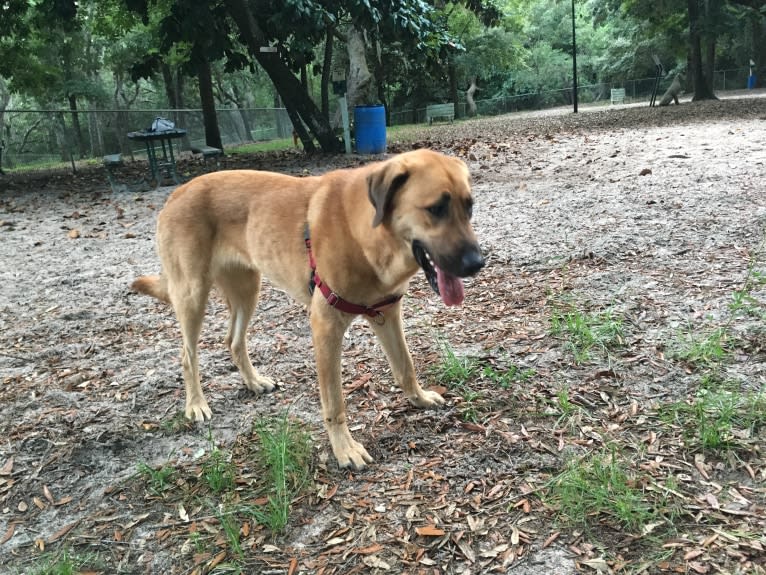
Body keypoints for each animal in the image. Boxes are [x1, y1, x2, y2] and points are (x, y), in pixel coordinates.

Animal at [130, 151, 480, 470]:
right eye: (435, 209)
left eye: (469, 206)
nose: (477, 263)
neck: (364, 232)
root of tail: (177, 193)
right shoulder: (325, 327)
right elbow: (335, 402)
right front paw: (344, 449)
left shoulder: (387, 315)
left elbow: (406, 367)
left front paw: (419, 398)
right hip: (192, 294)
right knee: (187, 355)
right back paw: (196, 404)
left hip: (247, 290)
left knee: (233, 341)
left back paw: (253, 382)